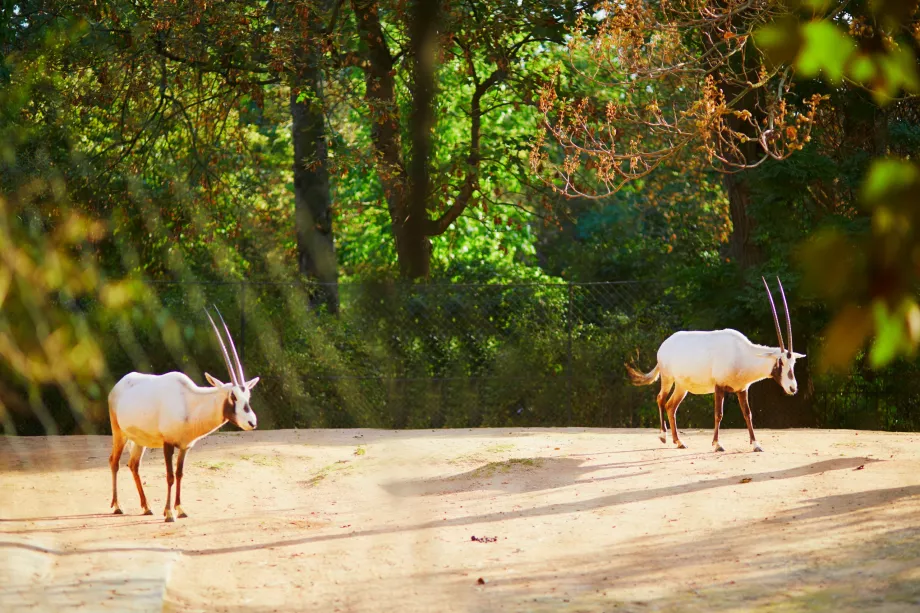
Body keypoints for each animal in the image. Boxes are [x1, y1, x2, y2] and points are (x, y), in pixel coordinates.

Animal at [108, 306, 258, 520]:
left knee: (133, 464)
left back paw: (146, 507)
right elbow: (170, 476)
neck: (190, 402)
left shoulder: (185, 447)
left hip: (138, 440)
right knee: (114, 462)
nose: (252, 422)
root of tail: (118, 385)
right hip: (119, 433)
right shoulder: (168, 444)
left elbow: (179, 475)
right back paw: (117, 506)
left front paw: (180, 509)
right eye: (233, 396)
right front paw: (169, 513)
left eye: (248, 395)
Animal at [624, 276, 804, 450]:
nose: (792, 388)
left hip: (682, 386)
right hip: (668, 378)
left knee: (671, 406)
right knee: (661, 399)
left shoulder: (742, 389)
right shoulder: (719, 387)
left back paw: (679, 442)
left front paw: (755, 444)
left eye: (793, 363)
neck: (742, 354)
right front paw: (717, 444)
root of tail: (665, 344)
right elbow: (719, 414)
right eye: (781, 363)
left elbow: (748, 414)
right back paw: (663, 436)